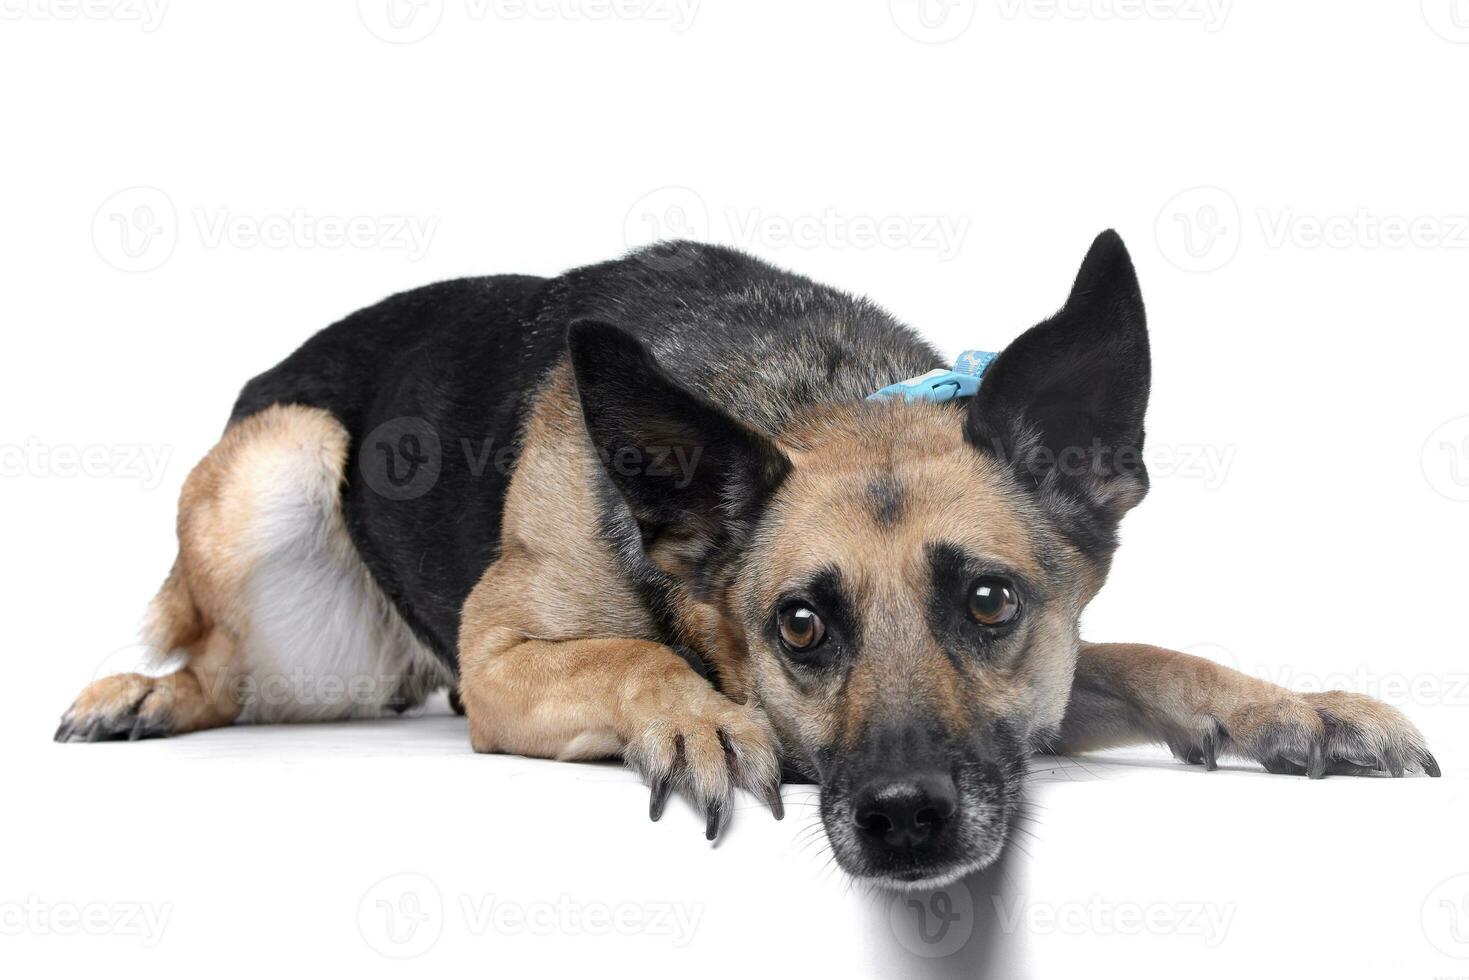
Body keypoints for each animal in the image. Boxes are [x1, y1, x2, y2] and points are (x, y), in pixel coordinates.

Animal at [54, 233, 1433, 893]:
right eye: (799, 625)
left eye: (990, 600)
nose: (905, 818)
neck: (812, 390)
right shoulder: (502, 662)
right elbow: (623, 653)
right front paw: (700, 716)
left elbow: (1149, 651)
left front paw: (1296, 708)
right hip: (284, 456)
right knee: (221, 671)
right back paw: (138, 696)